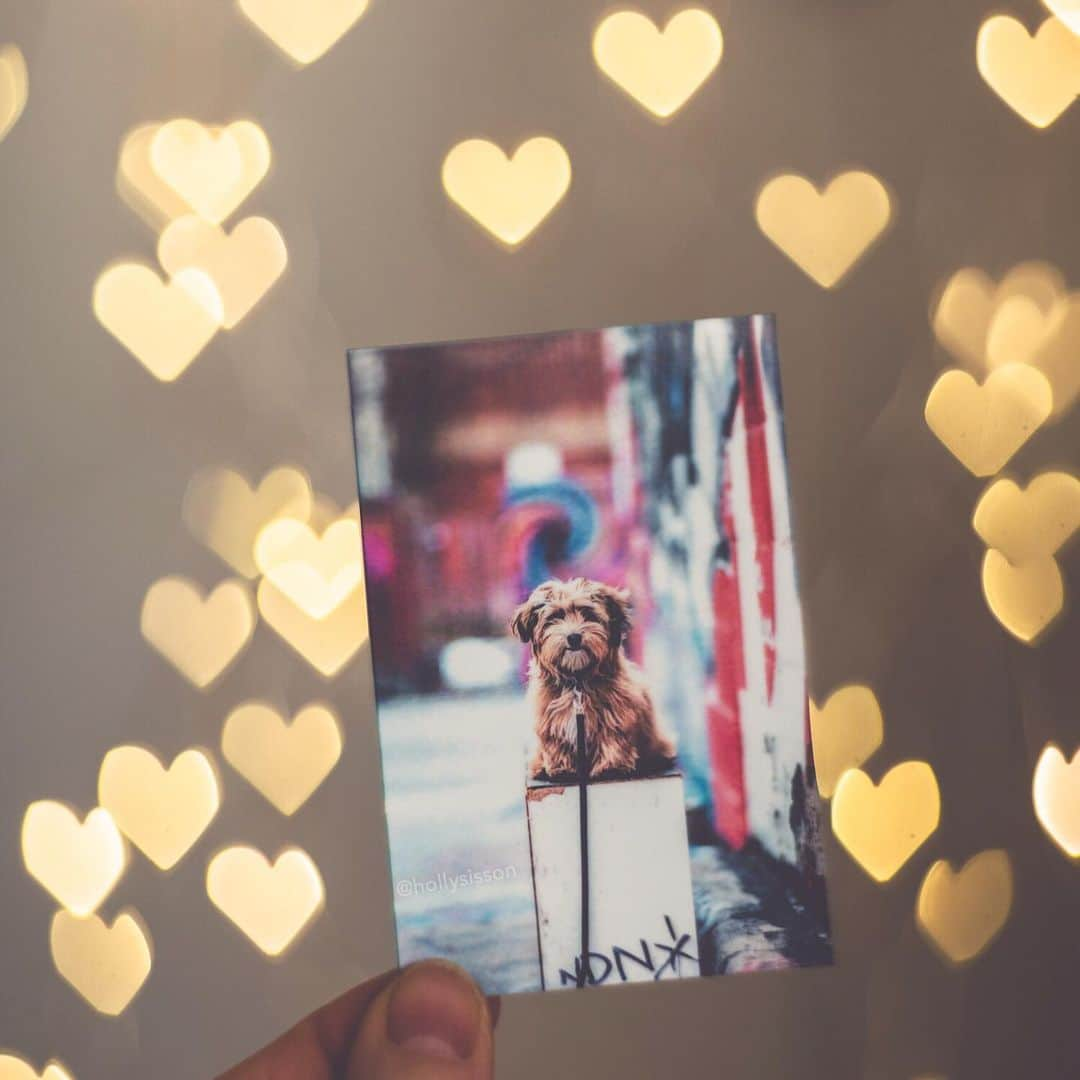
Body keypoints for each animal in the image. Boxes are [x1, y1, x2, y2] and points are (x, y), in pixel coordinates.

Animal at [511, 578, 673, 781]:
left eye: (588, 614)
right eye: (555, 617)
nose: (573, 637)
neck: (578, 682)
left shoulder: (616, 712)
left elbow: (612, 736)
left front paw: (611, 766)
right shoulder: (549, 717)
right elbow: (556, 742)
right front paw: (561, 767)